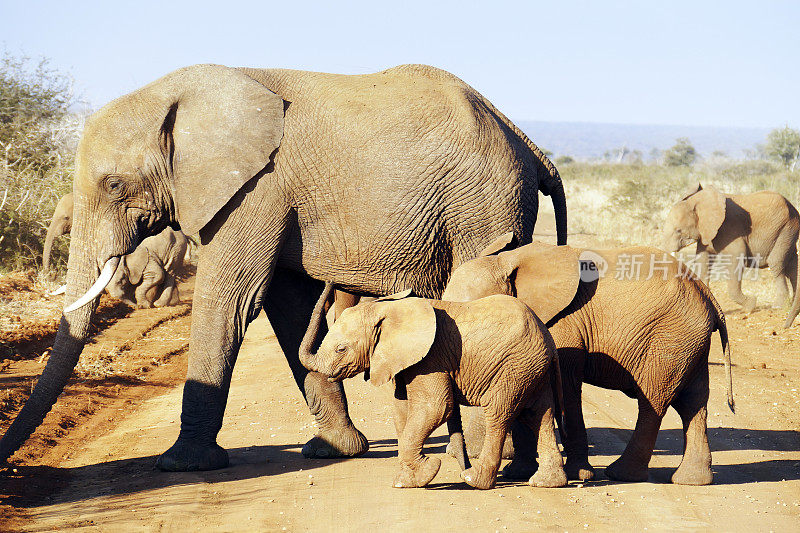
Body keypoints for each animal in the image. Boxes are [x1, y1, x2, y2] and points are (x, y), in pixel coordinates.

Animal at [302, 282, 568, 490]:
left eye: (341, 349)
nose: (329, 282)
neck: (387, 308)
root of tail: (548, 339)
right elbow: (402, 410)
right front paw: (407, 479)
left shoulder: (431, 358)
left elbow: (436, 407)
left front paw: (421, 475)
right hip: (533, 370)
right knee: (540, 415)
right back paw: (546, 483)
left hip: (515, 367)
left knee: (500, 413)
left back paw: (474, 479)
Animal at [446, 235, 736, 484]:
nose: (464, 471)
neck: (506, 261)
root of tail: (709, 296)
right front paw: (517, 473)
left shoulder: (564, 325)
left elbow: (566, 390)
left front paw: (578, 475)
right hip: (690, 344)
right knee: (693, 403)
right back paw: (692, 480)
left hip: (670, 339)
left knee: (654, 401)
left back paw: (621, 474)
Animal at [664, 183, 800, 326]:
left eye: (678, 230)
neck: (697, 201)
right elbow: (703, 260)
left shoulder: (729, 229)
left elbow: (737, 258)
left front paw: (751, 306)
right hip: (788, 231)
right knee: (792, 266)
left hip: (785, 228)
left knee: (776, 263)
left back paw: (778, 306)